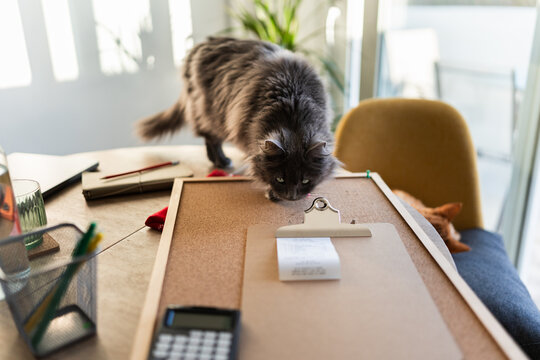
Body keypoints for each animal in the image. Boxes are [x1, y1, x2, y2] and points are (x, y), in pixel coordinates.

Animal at [137, 37, 336, 201]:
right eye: (280, 179)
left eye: (305, 180)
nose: (291, 197)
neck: (293, 108)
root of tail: (199, 47)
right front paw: (271, 193)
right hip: (212, 112)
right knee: (210, 138)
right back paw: (222, 161)